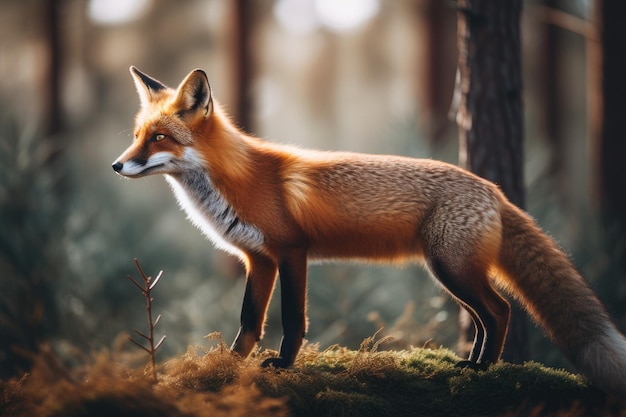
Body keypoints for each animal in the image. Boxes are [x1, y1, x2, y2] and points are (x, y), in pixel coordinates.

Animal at [112, 67, 624, 394]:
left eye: (159, 138)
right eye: (137, 135)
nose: (117, 165)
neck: (234, 182)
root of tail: (493, 190)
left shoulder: (292, 252)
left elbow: (292, 320)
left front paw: (283, 365)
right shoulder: (257, 259)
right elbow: (248, 322)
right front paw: (228, 368)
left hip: (451, 269)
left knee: (500, 312)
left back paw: (485, 371)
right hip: (452, 273)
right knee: (486, 317)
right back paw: (472, 362)